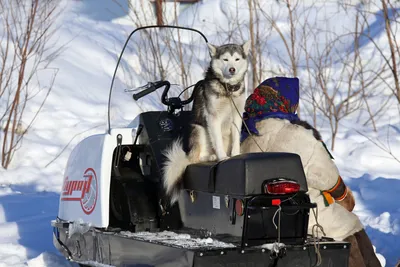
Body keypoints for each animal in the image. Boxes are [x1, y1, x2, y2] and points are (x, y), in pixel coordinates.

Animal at [162, 40, 250, 204]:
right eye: (225, 59)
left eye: (236, 59)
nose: (232, 69)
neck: (227, 88)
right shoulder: (212, 117)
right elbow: (218, 142)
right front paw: (223, 157)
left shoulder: (237, 115)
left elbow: (236, 140)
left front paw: (235, 154)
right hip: (199, 130)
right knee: (196, 158)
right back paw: (211, 156)